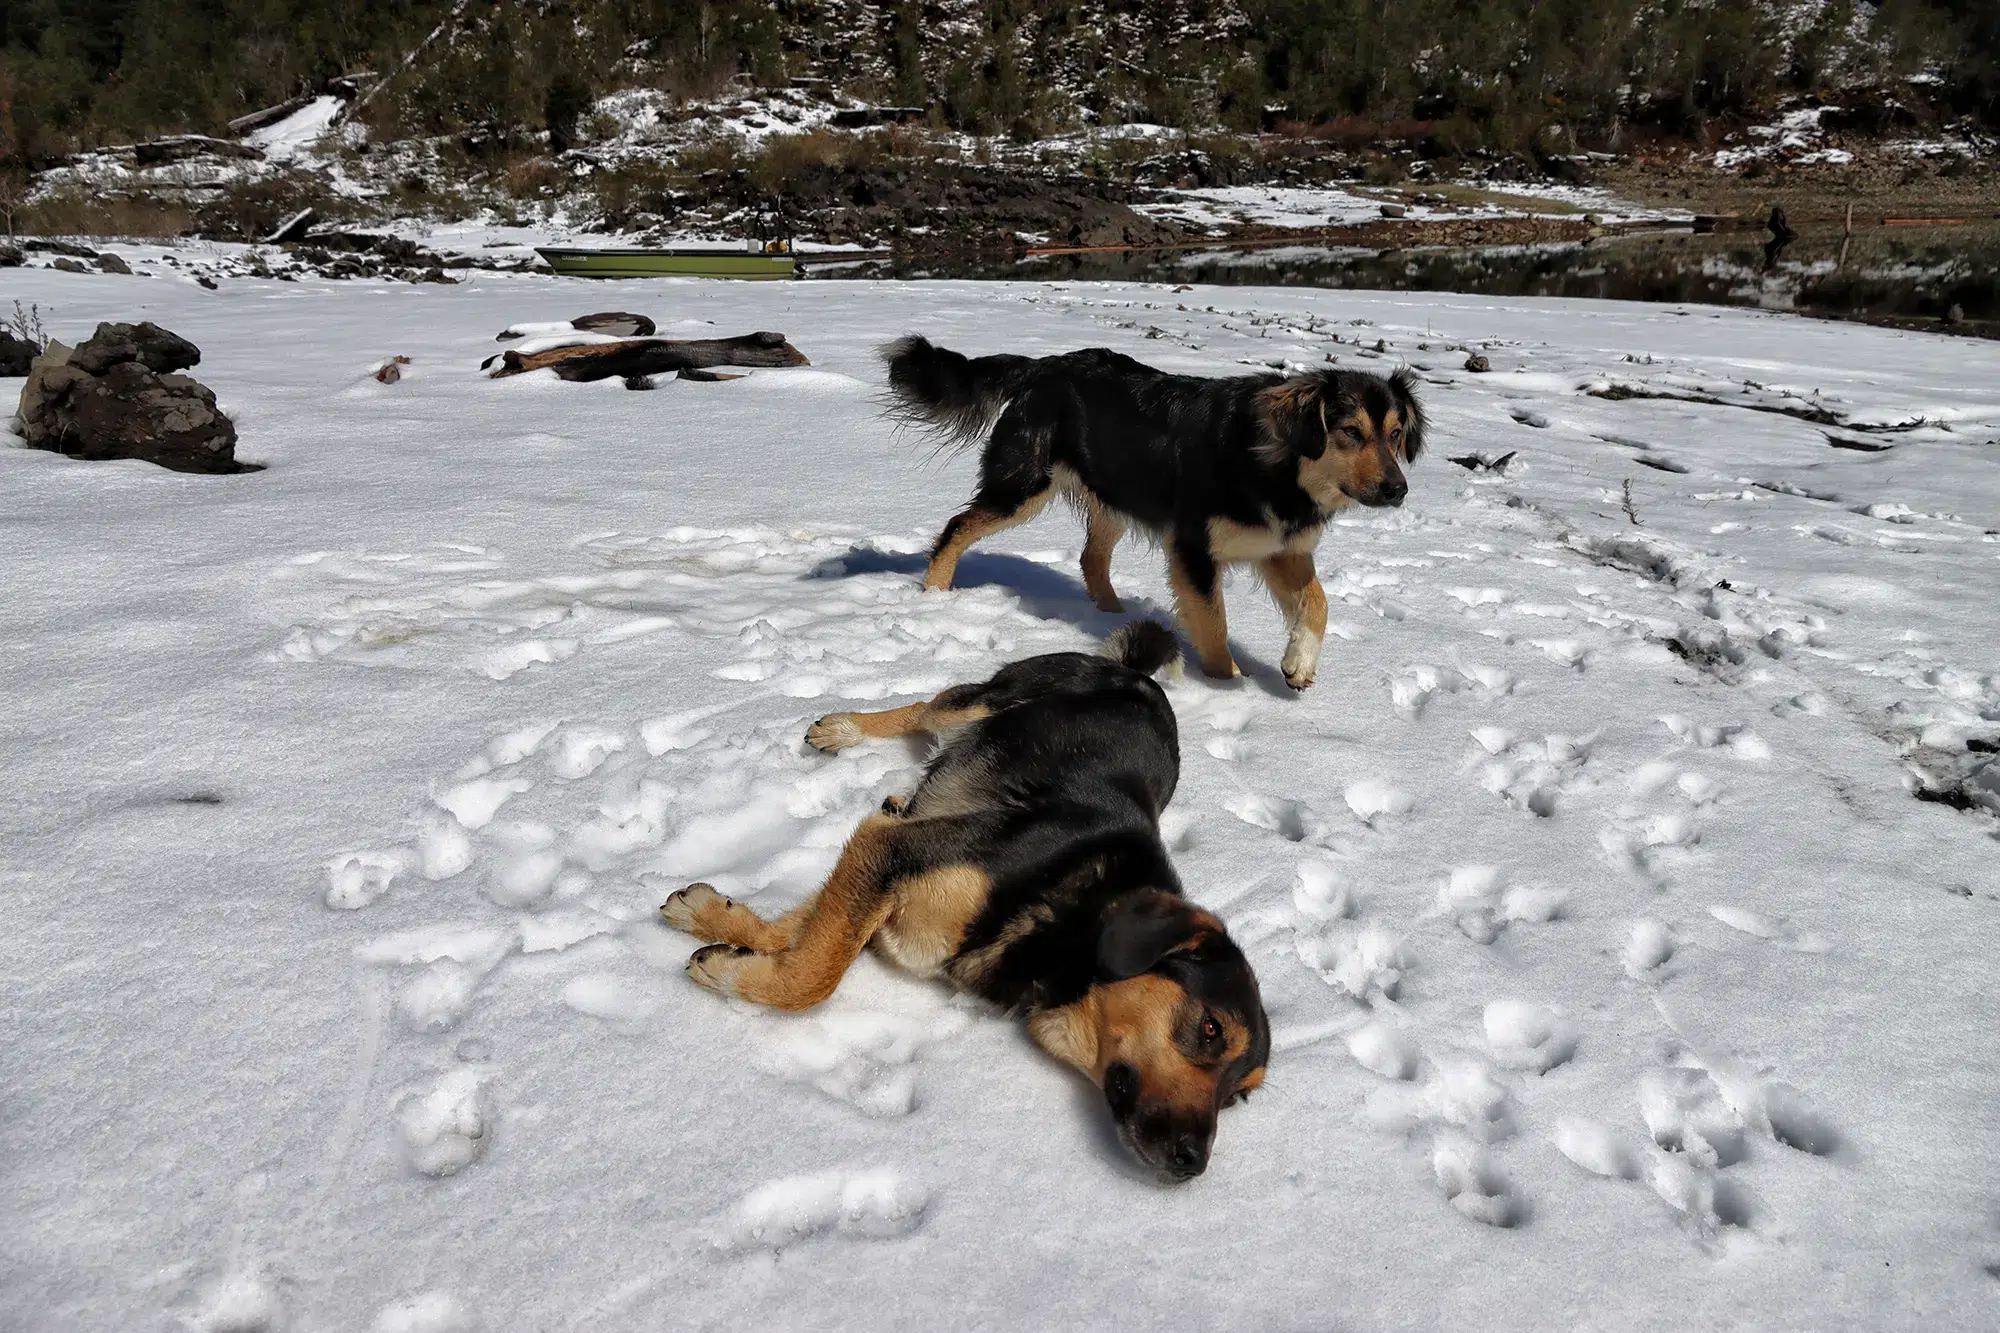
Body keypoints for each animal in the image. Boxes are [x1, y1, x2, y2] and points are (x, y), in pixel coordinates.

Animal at [664, 624, 1272, 1176]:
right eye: (1210, 1029)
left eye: (1240, 1095)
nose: (1194, 1163)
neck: (1074, 919)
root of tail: (1133, 671)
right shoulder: (892, 852)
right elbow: (814, 977)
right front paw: (730, 966)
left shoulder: (884, 877)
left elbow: (806, 934)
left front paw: (718, 927)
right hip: (988, 701)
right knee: (925, 708)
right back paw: (844, 730)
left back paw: (897, 792)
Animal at [880, 334, 1424, 684]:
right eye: (1350, 431)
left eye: (1396, 434)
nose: (1398, 490)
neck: (1277, 464)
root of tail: (1041, 365)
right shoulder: (1194, 548)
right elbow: (1214, 623)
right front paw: (1231, 684)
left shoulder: (1282, 548)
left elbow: (1318, 603)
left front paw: (1298, 665)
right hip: (1024, 482)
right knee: (958, 525)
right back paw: (934, 593)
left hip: (1114, 494)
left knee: (1091, 558)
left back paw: (1109, 613)